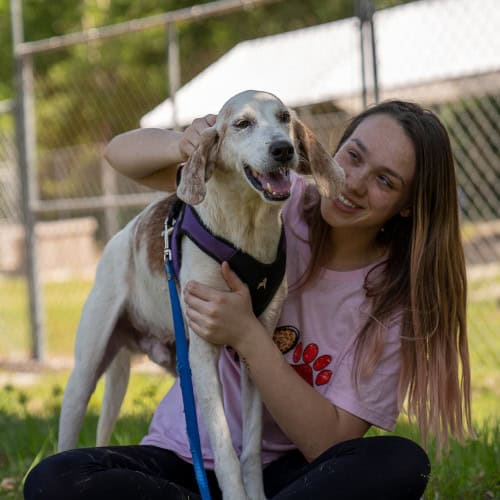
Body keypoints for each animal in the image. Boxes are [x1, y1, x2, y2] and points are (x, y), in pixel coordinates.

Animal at [58, 91, 344, 500]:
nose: (283, 149)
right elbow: (225, 450)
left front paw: (255, 496)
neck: (246, 230)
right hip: (85, 374)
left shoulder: (256, 348)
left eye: (285, 118)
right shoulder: (205, 353)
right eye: (242, 124)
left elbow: (250, 449)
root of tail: (121, 236)